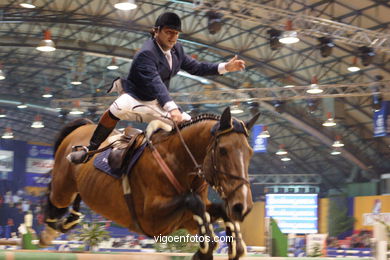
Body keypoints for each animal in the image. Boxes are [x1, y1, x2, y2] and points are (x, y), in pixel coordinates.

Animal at [40, 106, 258, 258]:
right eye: (223, 151)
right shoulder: (151, 220)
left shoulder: (187, 219)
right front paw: (206, 249)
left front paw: (234, 246)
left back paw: (70, 220)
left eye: (250, 153)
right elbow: (193, 201)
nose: (242, 207)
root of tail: (83, 126)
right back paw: (49, 232)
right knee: (53, 195)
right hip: (63, 188)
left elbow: (218, 210)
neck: (178, 159)